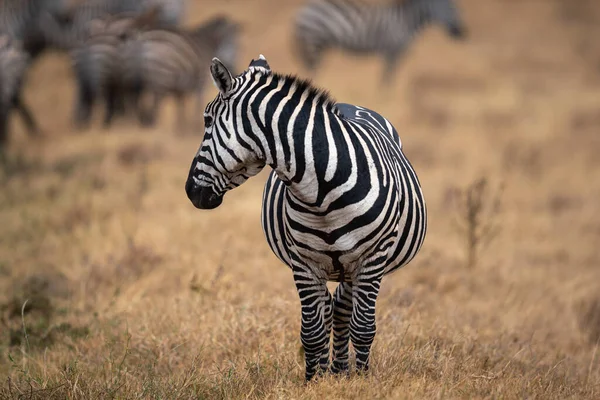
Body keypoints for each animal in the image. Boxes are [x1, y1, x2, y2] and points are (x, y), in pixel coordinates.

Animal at [185, 54, 428, 380]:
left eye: (207, 121)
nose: (190, 192)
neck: (323, 191)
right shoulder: (303, 262)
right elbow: (312, 330)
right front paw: (315, 380)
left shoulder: (373, 258)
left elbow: (363, 327)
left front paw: (362, 379)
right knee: (328, 308)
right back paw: (333, 370)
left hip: (354, 267)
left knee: (342, 309)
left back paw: (342, 371)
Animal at [296, 0, 468, 81]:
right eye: (450, 9)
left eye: (456, 9)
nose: (462, 34)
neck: (406, 22)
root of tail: (305, 8)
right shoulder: (392, 50)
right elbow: (387, 77)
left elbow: (388, 77)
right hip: (315, 41)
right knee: (314, 68)